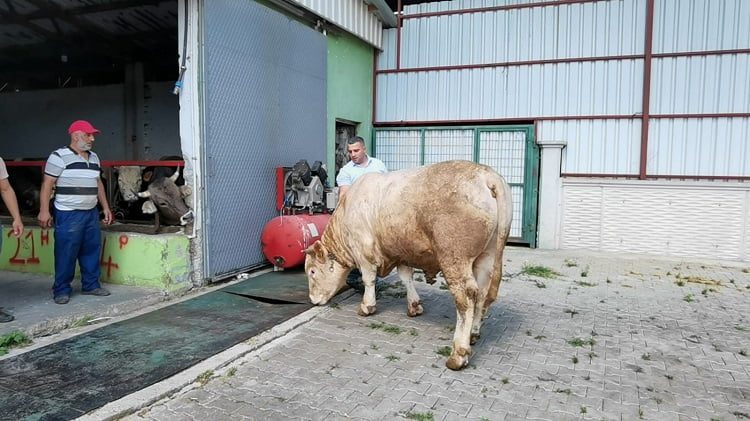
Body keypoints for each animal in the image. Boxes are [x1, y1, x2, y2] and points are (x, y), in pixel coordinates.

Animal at [304, 160, 512, 370]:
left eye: (312, 271)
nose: (312, 299)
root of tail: (486, 174)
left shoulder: (364, 252)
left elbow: (369, 279)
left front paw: (366, 306)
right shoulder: (402, 253)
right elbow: (406, 278)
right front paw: (414, 306)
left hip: (455, 258)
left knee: (466, 298)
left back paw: (458, 354)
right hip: (487, 256)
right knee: (482, 294)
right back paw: (474, 333)